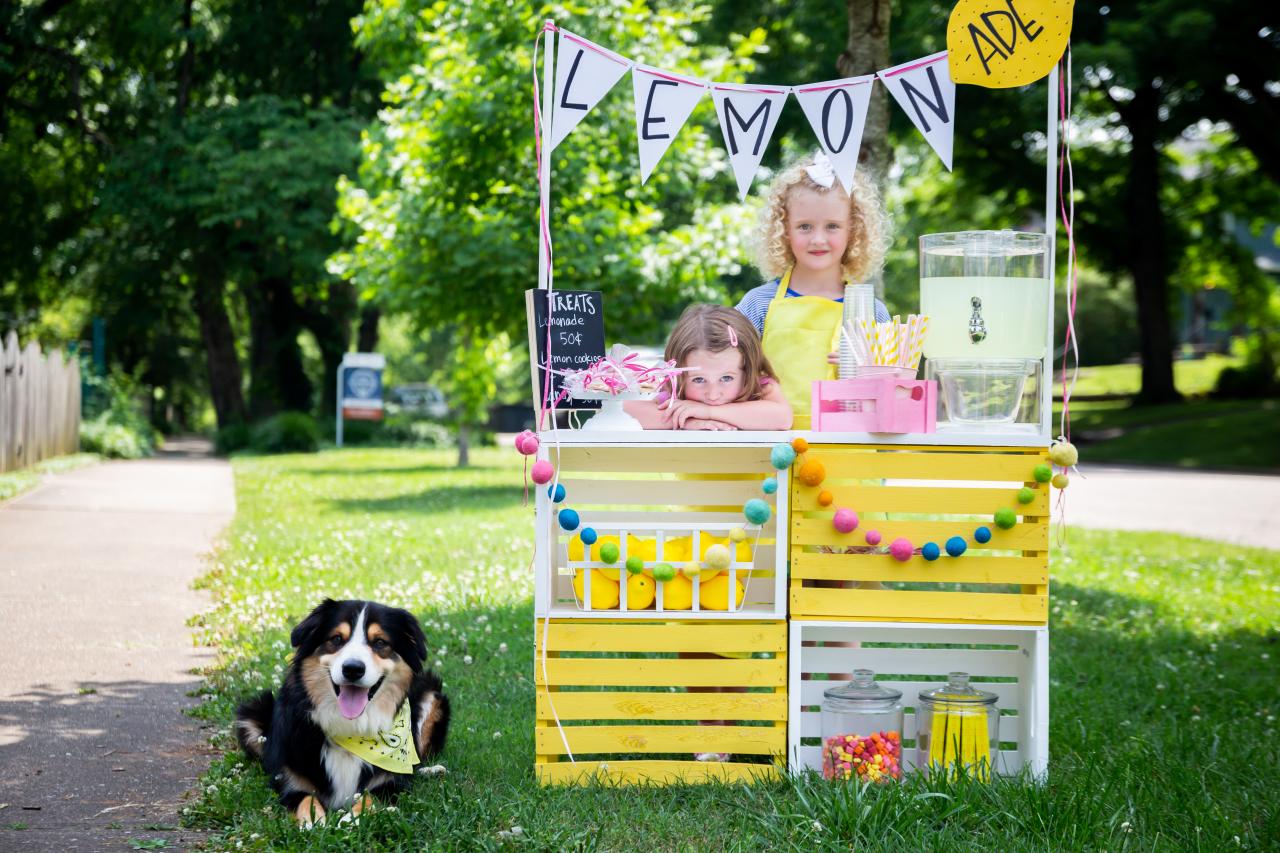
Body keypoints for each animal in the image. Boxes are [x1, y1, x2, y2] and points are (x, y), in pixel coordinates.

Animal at [235, 596, 450, 824]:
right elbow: (306, 801)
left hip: (432, 695)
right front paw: (314, 822)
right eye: (337, 638)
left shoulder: (389, 783)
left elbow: (369, 798)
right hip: (253, 713)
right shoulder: (292, 782)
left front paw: (349, 819)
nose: (353, 669)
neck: (351, 727)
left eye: (380, 642)